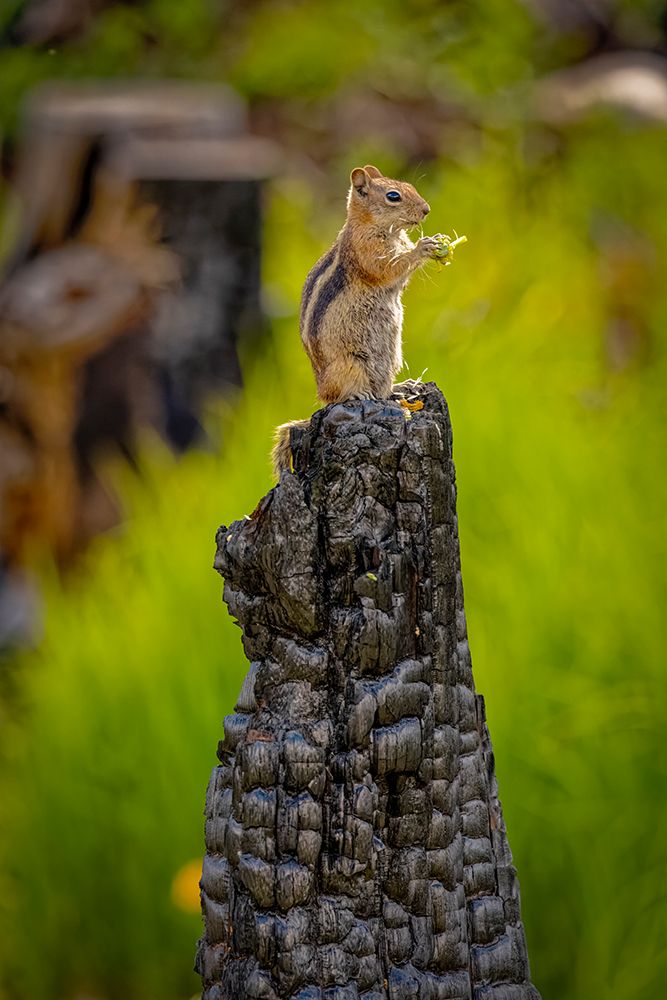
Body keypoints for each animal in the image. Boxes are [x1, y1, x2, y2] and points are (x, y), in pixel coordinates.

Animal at [272, 164, 457, 477]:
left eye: (410, 186)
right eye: (393, 196)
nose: (426, 210)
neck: (377, 227)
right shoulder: (368, 251)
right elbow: (389, 268)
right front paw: (424, 247)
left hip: (390, 362)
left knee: (383, 390)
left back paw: (399, 390)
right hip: (350, 366)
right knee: (339, 396)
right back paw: (359, 397)